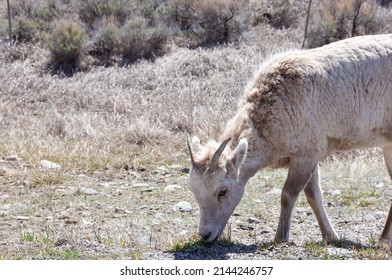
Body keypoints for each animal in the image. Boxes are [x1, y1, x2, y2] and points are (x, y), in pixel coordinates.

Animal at [187, 34, 392, 246]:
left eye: (223, 191)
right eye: (194, 190)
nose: (205, 234)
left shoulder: (305, 156)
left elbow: (288, 195)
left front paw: (280, 237)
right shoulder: (309, 158)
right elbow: (313, 196)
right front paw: (330, 236)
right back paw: (383, 239)